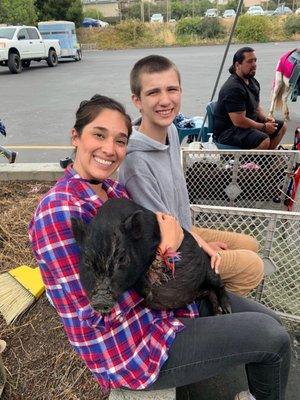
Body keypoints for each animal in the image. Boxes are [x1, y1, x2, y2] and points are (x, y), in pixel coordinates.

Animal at [71, 198, 230, 314]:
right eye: (86, 261)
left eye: (122, 258)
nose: (100, 300)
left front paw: (149, 293)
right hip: (199, 291)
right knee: (210, 292)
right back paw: (218, 312)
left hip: (209, 271)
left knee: (219, 284)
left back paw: (226, 309)